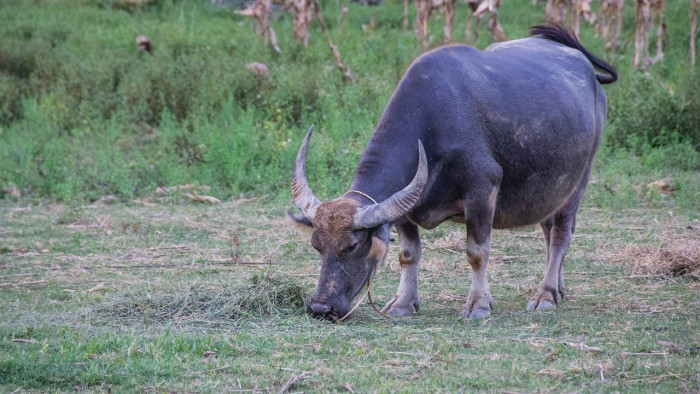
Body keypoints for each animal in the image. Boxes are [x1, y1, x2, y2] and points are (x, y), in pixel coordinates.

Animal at [288, 23, 616, 320]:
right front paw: (403, 303)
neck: (433, 125)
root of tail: (589, 72)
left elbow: (477, 252)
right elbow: (408, 254)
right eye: (316, 245)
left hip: (579, 179)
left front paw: (479, 304)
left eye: (351, 246)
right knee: (550, 232)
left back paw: (545, 295)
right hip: (551, 189)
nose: (320, 308)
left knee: (561, 234)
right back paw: (558, 288)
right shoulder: (405, 207)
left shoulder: (482, 191)